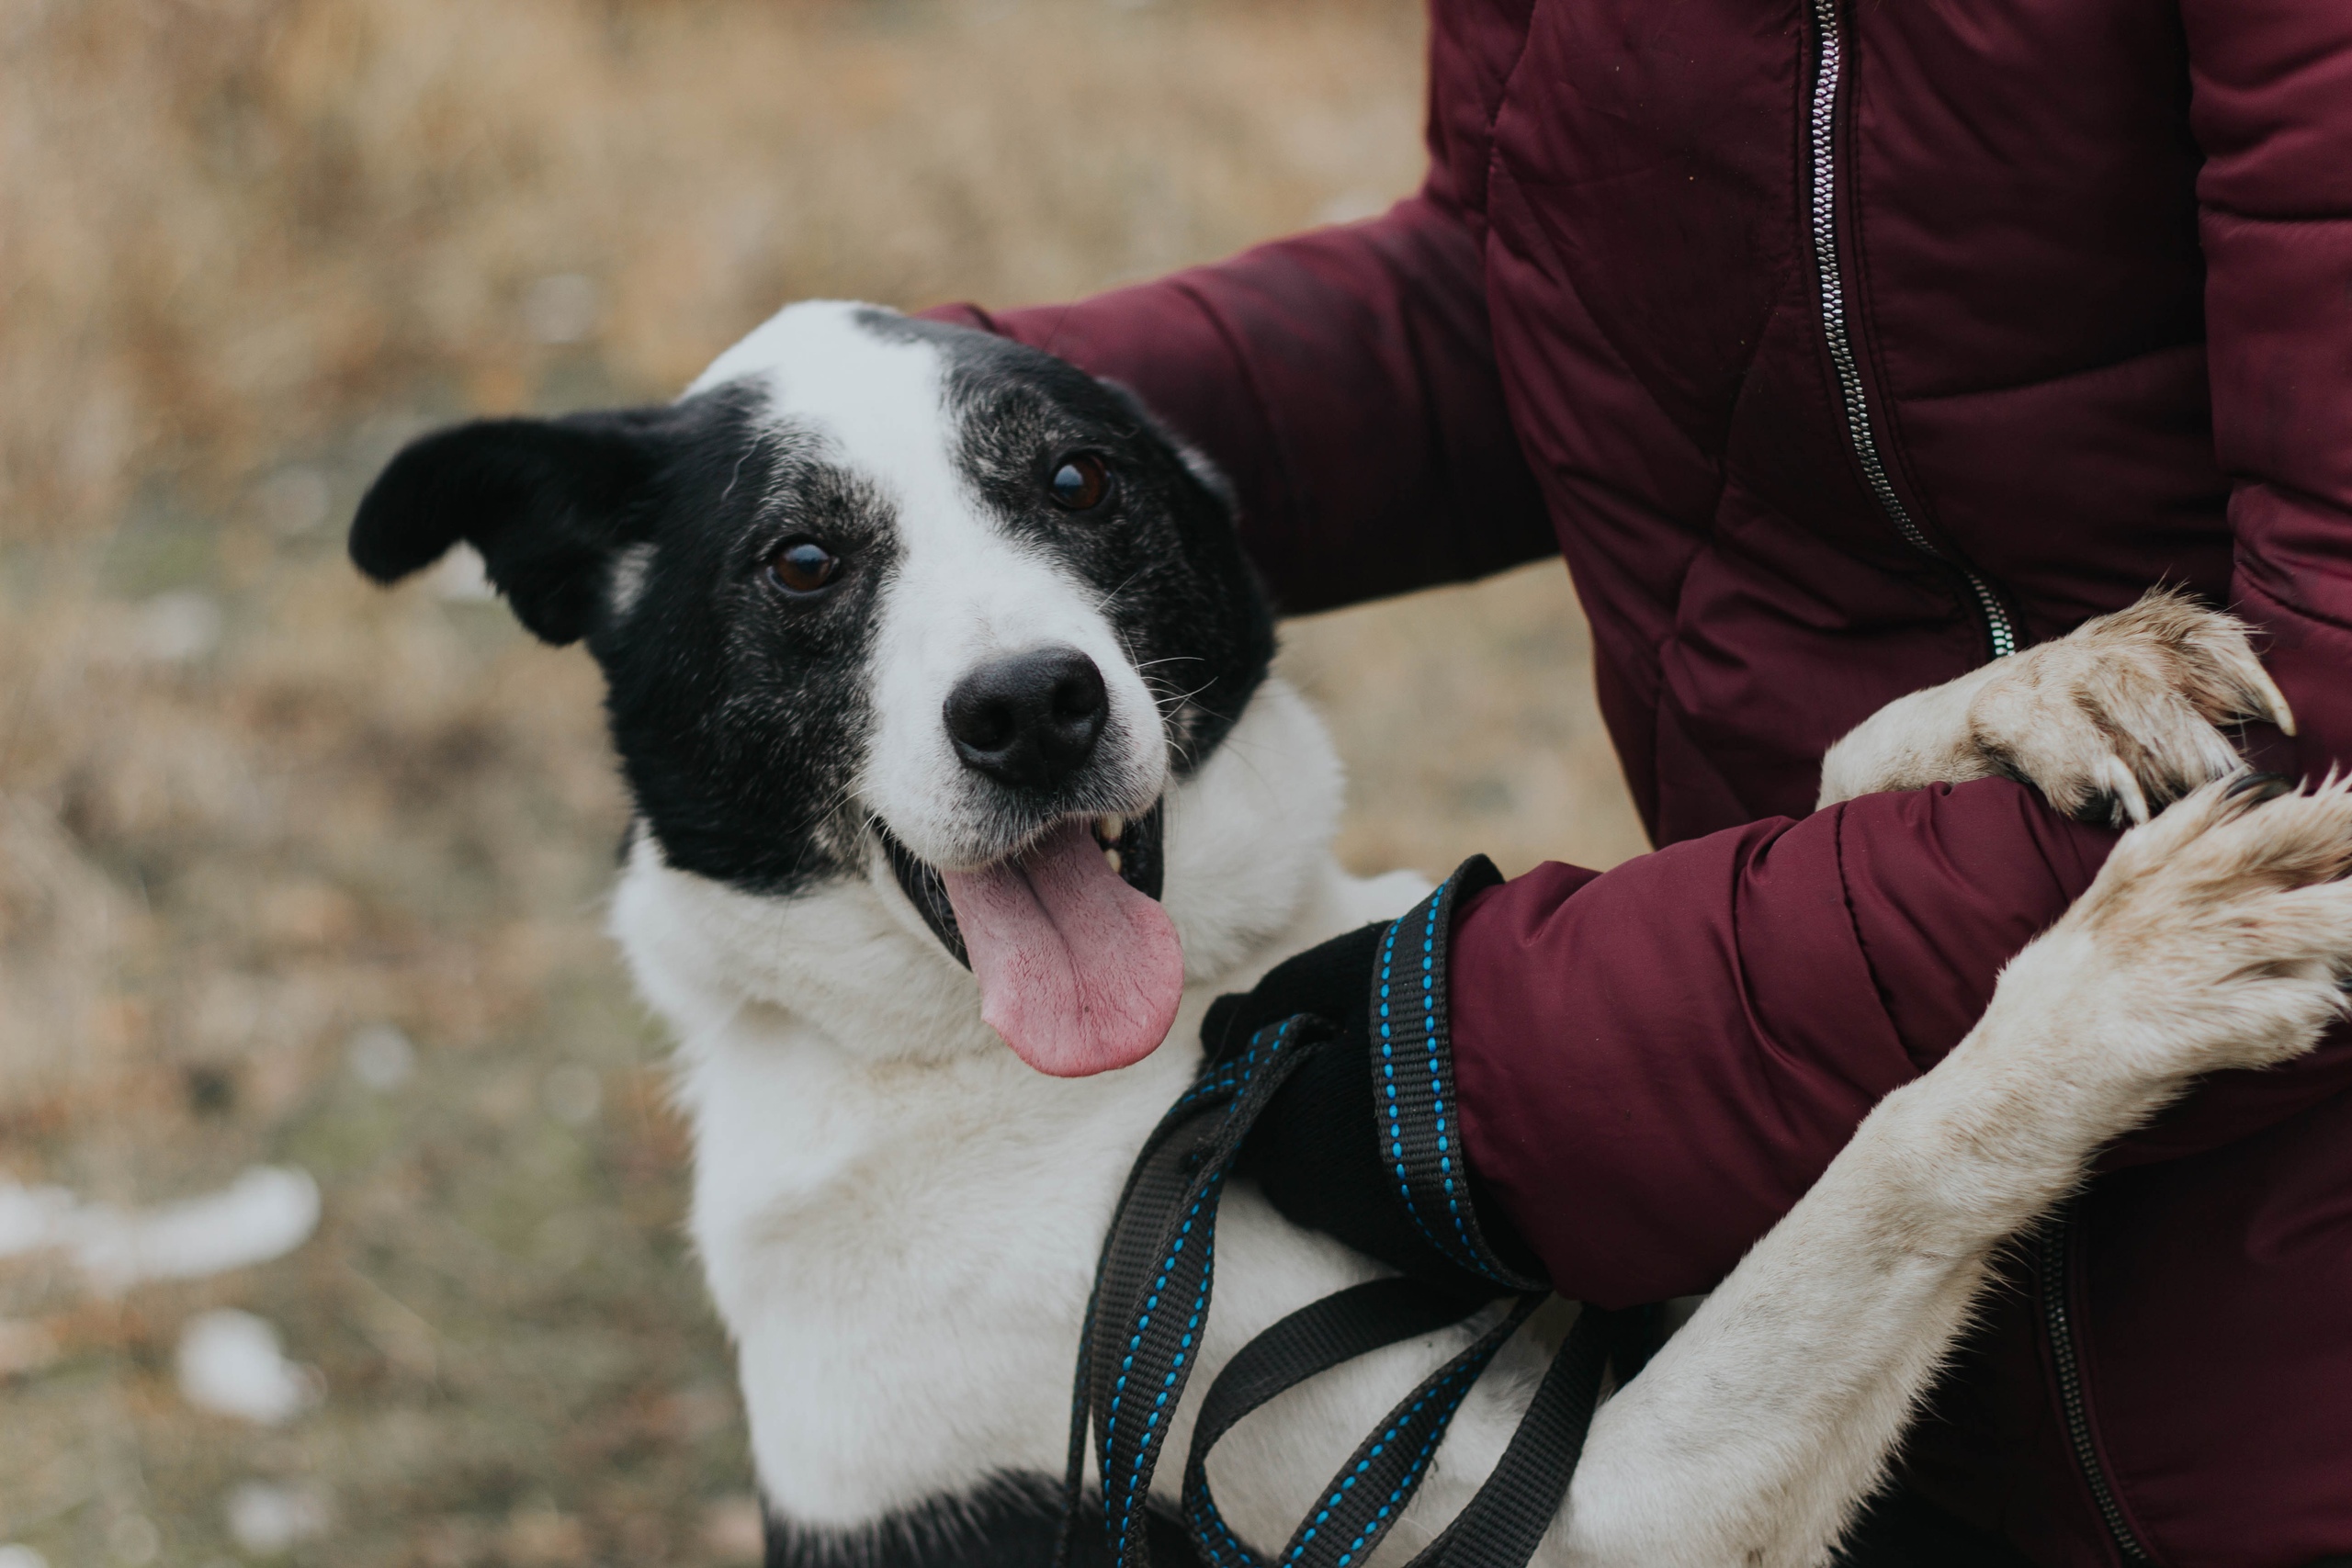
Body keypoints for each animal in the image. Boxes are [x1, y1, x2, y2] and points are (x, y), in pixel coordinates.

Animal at [347, 303, 2352, 1568]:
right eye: (801, 563)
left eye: (1076, 485)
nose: (1031, 709)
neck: (1177, 1054)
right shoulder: (1585, 1524)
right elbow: (1893, 1161)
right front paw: (2125, 979)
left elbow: (1832, 797)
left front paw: (2030, 692)